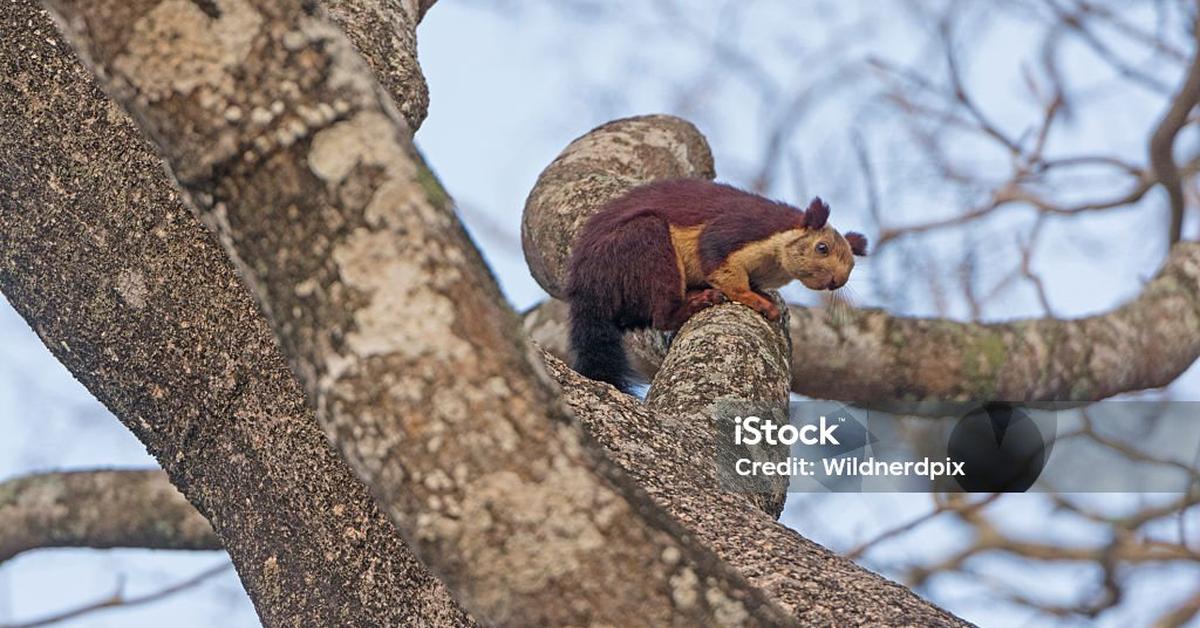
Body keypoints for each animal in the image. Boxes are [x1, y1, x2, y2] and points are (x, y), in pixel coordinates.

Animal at [566, 177, 868, 393]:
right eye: (822, 248)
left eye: (852, 265)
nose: (837, 281)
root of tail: (587, 288)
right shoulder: (735, 232)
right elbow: (719, 264)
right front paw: (754, 299)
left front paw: (762, 292)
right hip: (642, 243)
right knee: (662, 315)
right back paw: (695, 303)